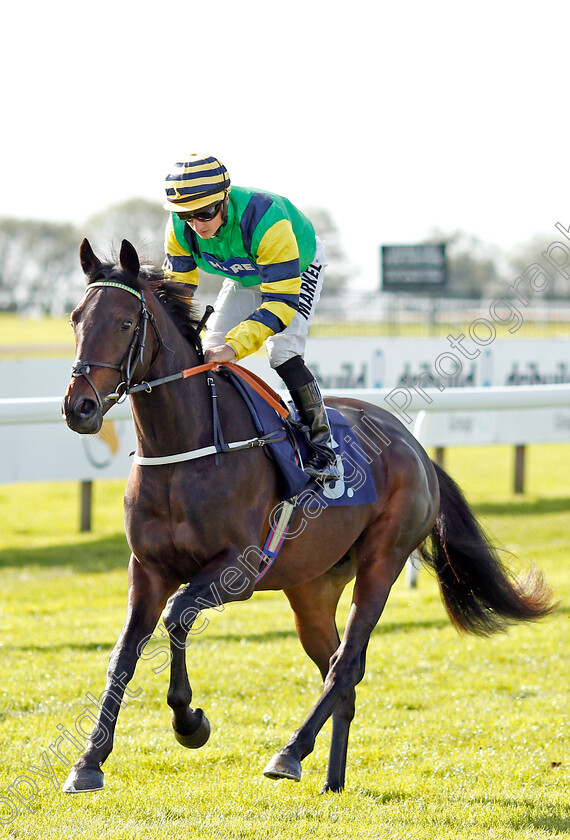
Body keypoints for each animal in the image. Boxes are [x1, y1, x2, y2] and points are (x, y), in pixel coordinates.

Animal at [61, 241, 552, 796]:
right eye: (76, 318)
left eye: (125, 322)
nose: (79, 407)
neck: (185, 449)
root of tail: (415, 447)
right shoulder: (147, 569)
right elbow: (123, 655)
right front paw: (89, 760)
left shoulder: (237, 570)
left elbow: (178, 616)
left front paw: (190, 723)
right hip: (311, 590)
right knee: (338, 671)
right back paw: (332, 779)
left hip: (382, 561)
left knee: (346, 665)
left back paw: (290, 753)